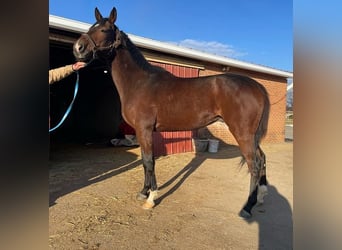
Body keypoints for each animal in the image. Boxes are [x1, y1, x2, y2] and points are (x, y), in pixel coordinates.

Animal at [73, 6, 270, 218]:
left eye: (103, 30)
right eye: (91, 27)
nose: (78, 48)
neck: (140, 83)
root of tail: (256, 85)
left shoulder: (144, 130)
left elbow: (149, 161)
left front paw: (151, 198)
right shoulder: (143, 132)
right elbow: (145, 161)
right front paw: (143, 192)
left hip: (242, 133)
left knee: (254, 164)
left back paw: (247, 207)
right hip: (251, 136)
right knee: (262, 159)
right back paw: (261, 196)